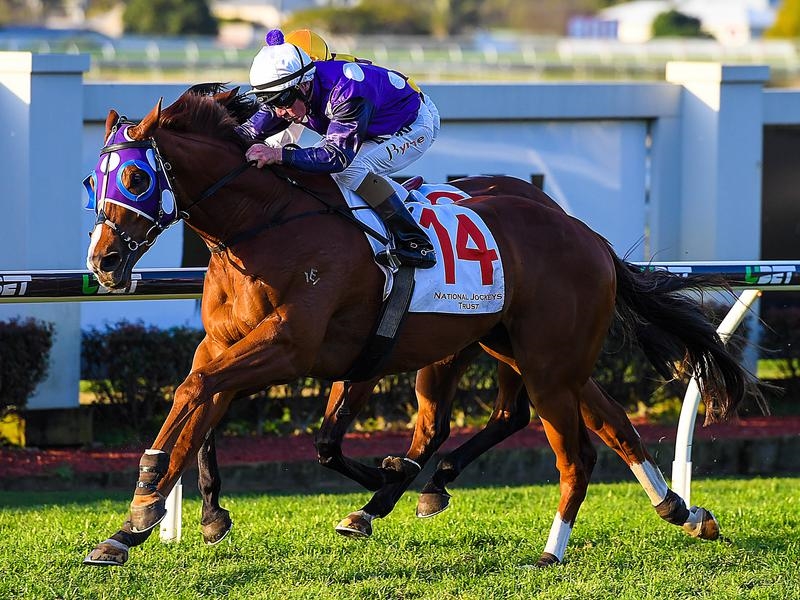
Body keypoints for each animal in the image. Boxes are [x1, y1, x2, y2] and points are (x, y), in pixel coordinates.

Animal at [82, 86, 758, 567]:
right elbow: (205, 404)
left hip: (542, 364)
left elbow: (197, 390)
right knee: (612, 426)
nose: (103, 262)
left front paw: (147, 493)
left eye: (137, 177)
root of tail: (586, 234)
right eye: (93, 181)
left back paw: (549, 550)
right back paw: (681, 510)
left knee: (575, 452)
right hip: (528, 354)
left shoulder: (291, 347)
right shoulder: (237, 344)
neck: (267, 220)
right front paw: (143, 523)